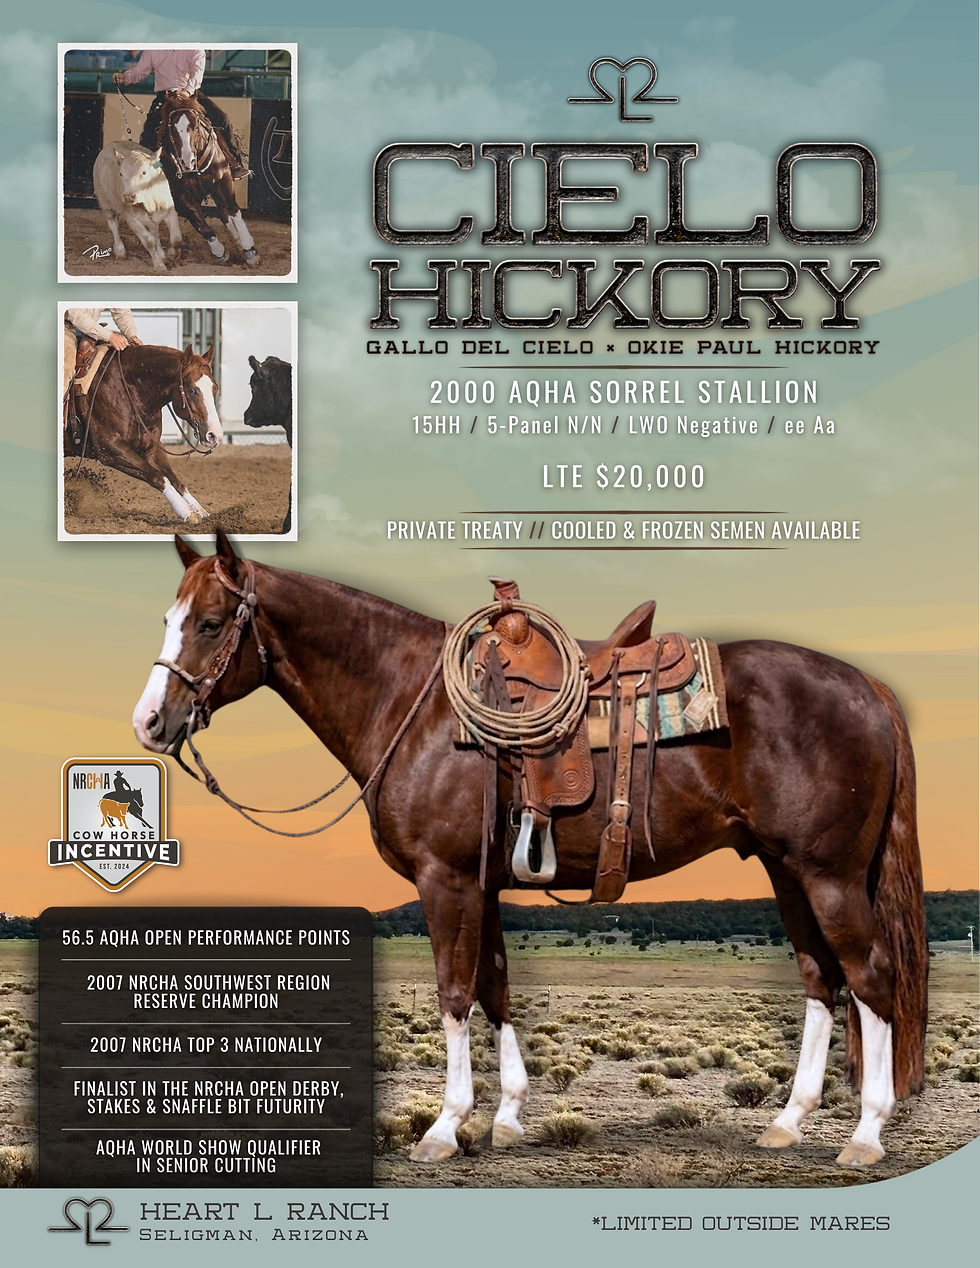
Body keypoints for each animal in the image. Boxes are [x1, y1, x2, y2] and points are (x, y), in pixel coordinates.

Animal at [65, 344, 223, 525]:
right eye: (192, 390)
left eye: (215, 388)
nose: (215, 435)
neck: (127, 390)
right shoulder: (110, 450)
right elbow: (157, 476)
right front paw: (186, 512)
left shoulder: (151, 447)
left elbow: (175, 479)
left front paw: (199, 509)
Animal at [132, 533, 928, 1169]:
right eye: (166, 619)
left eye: (209, 623)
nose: (149, 723)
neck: (410, 703)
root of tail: (867, 685)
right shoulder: (479, 884)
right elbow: (496, 987)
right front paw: (508, 1118)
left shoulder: (445, 880)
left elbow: (455, 993)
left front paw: (444, 1129)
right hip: (787, 870)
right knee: (821, 979)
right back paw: (788, 1122)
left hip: (830, 875)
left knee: (871, 976)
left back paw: (866, 1134)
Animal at [158, 92, 260, 267]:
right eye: (172, 127)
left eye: (195, 125)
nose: (187, 162)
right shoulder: (181, 196)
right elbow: (203, 225)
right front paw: (220, 252)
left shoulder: (224, 179)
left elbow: (233, 210)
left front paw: (249, 248)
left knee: (225, 212)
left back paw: (239, 242)